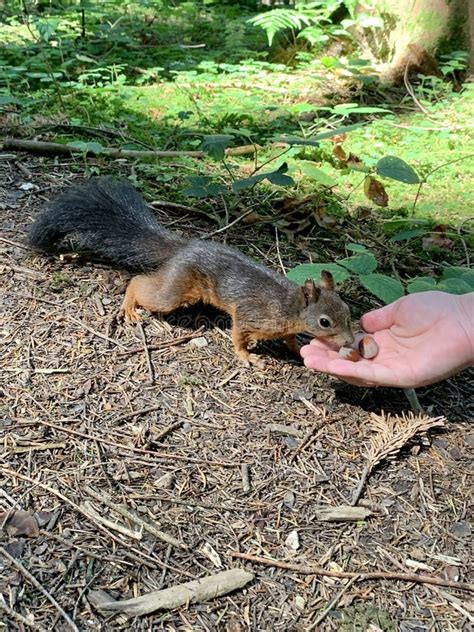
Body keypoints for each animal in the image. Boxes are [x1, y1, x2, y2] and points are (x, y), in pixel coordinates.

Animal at [29, 177, 354, 366]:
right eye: (325, 321)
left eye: (348, 312)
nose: (351, 342)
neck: (290, 306)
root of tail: (182, 248)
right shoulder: (251, 315)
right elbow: (238, 335)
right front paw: (246, 356)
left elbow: (289, 339)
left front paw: (296, 349)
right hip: (174, 291)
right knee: (139, 283)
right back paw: (130, 305)